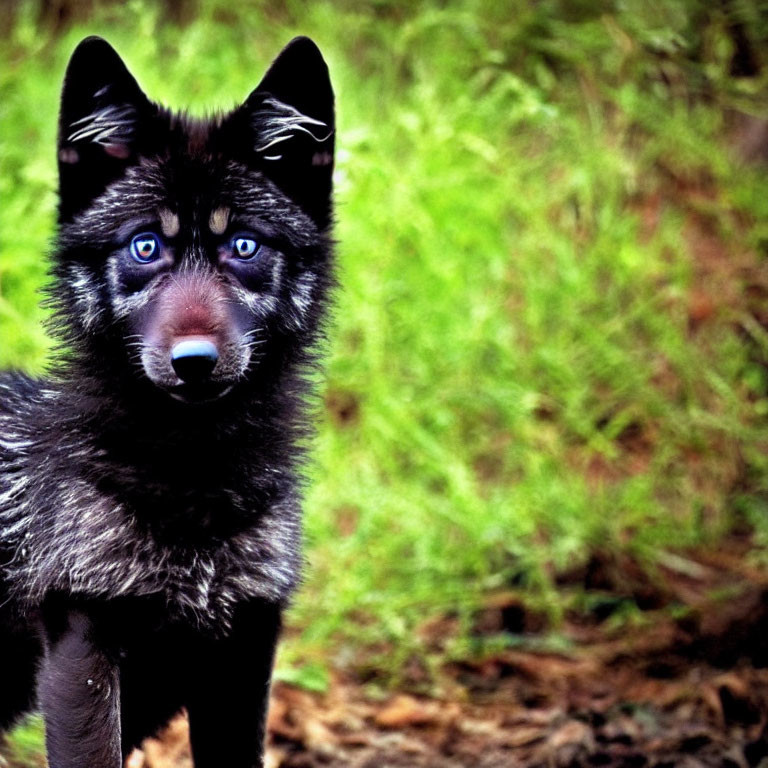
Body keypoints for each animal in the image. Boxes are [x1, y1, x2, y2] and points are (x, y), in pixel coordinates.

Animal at [0, 33, 336, 764]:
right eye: (146, 246)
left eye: (244, 245)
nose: (194, 364)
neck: (194, 484)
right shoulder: (83, 641)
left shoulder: (243, 646)